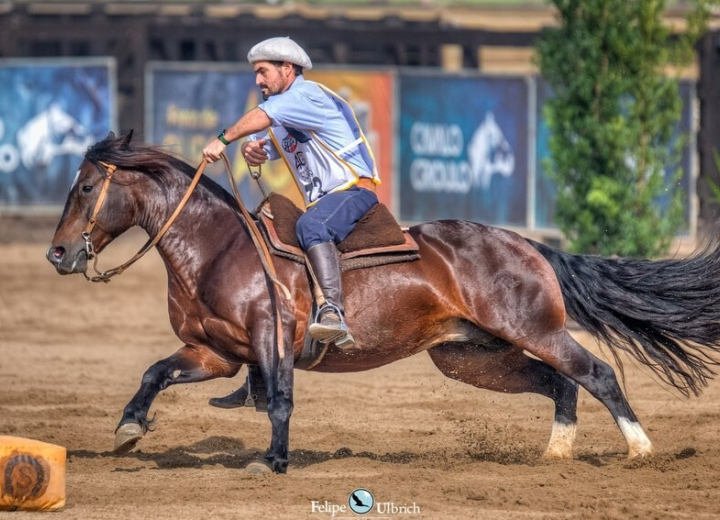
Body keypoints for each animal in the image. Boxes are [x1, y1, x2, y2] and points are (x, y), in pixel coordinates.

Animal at [46, 132, 720, 474]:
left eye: (86, 186)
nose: (58, 253)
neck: (218, 248)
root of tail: (528, 245)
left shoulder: (269, 342)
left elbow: (280, 401)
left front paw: (273, 462)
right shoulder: (215, 352)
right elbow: (155, 372)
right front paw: (129, 427)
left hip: (534, 330)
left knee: (595, 372)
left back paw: (639, 449)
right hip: (472, 356)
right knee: (560, 384)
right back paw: (555, 454)